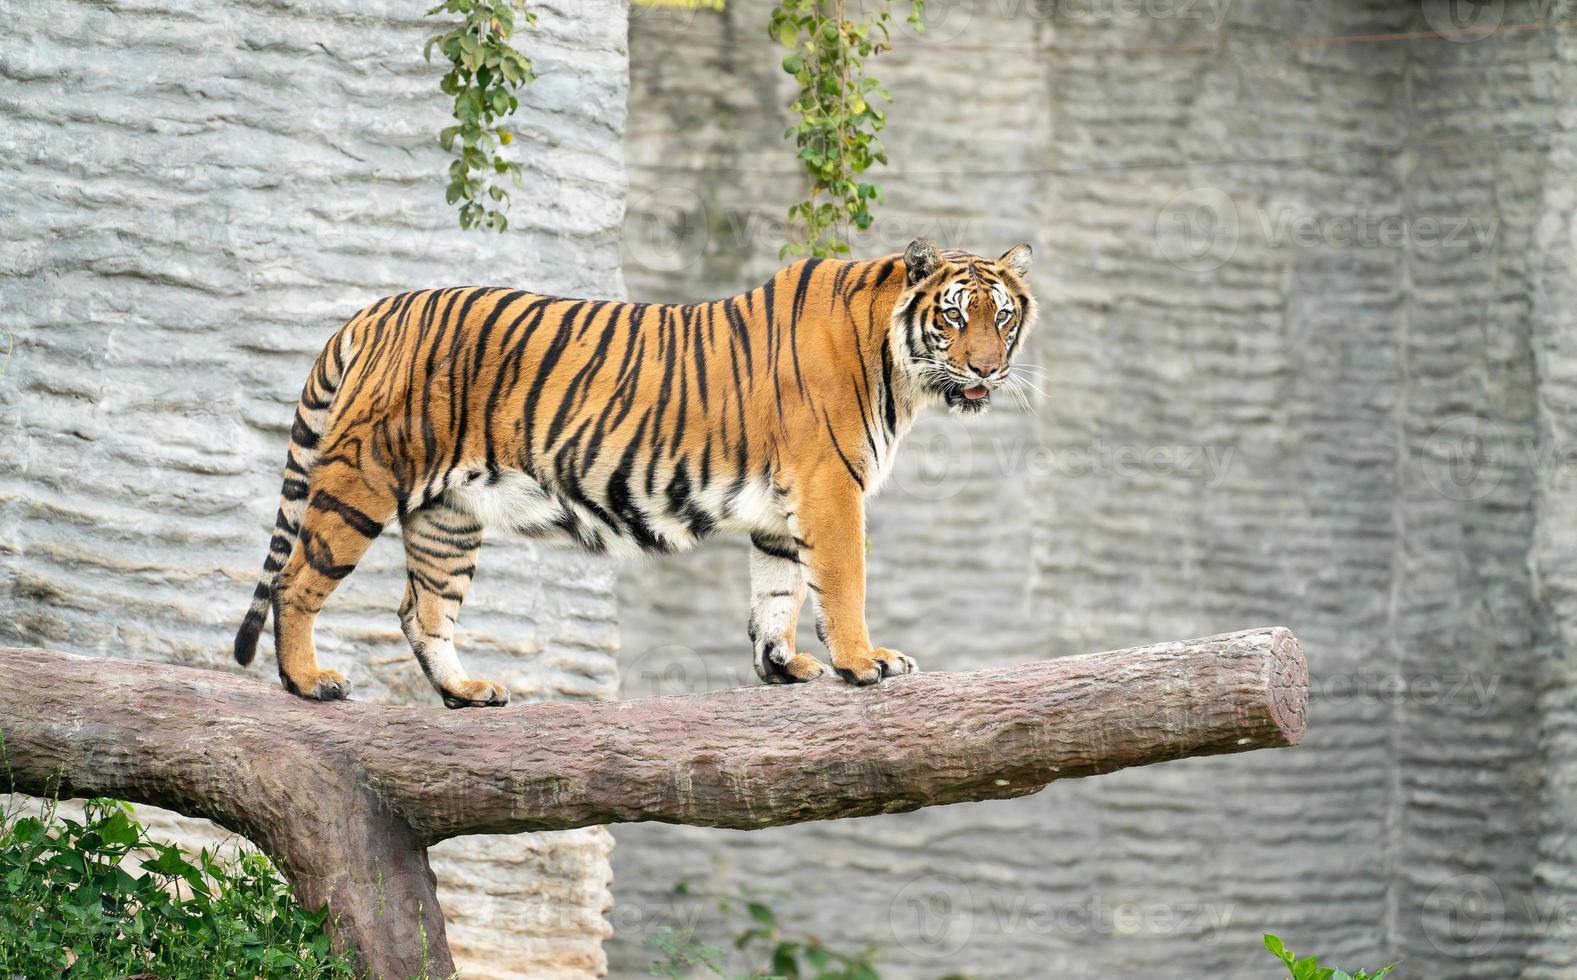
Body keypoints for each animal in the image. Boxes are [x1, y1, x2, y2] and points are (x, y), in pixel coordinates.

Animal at [233, 241, 1034, 706]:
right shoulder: (829, 489)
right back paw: (308, 681)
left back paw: (465, 691)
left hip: (448, 515)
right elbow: (841, 583)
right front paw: (864, 662)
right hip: (362, 480)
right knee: (297, 581)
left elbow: (776, 593)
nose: (986, 371)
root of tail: (373, 312)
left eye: (1003, 317)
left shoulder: (785, 510)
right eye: (954, 318)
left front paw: (783, 666)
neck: (899, 369)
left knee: (421, 609)